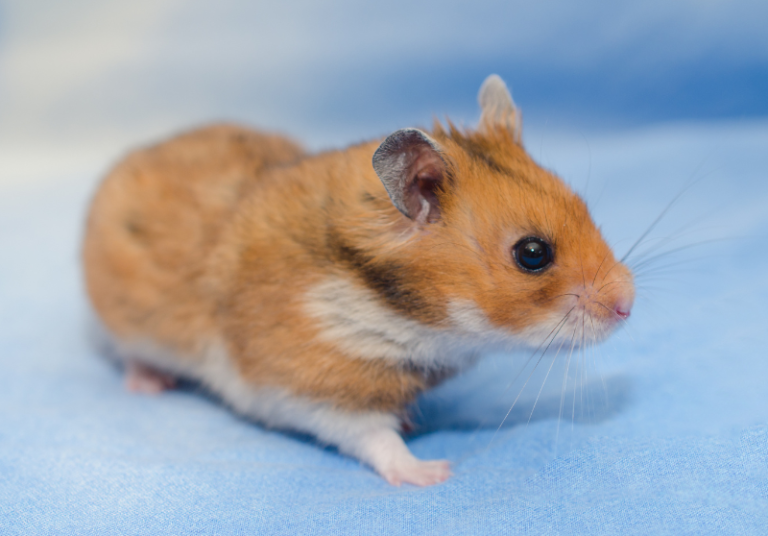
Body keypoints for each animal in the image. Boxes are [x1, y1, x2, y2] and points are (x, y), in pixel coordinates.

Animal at [82, 75, 634, 486]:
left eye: (584, 207)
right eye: (533, 254)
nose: (628, 305)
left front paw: (414, 425)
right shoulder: (311, 384)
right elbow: (372, 435)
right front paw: (434, 473)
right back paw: (149, 384)